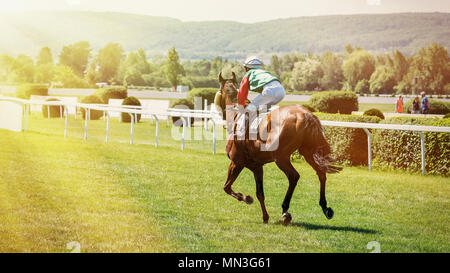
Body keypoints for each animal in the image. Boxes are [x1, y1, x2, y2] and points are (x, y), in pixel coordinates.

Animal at [217, 71, 342, 223]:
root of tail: (306, 115)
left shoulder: (236, 162)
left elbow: (227, 187)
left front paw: (246, 198)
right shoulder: (256, 166)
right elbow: (260, 193)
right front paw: (265, 216)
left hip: (281, 157)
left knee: (294, 176)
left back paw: (285, 210)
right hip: (307, 152)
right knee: (321, 173)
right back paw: (325, 207)